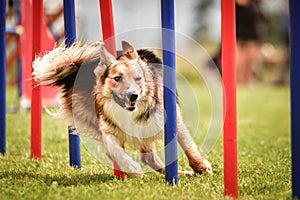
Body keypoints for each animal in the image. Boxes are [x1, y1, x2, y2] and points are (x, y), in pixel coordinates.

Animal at [32, 40, 211, 177]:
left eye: (138, 78)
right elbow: (113, 149)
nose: (133, 96)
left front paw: (201, 167)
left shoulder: (170, 119)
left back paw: (180, 173)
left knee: (149, 157)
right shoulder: (107, 127)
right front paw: (132, 169)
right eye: (117, 78)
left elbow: (188, 144)